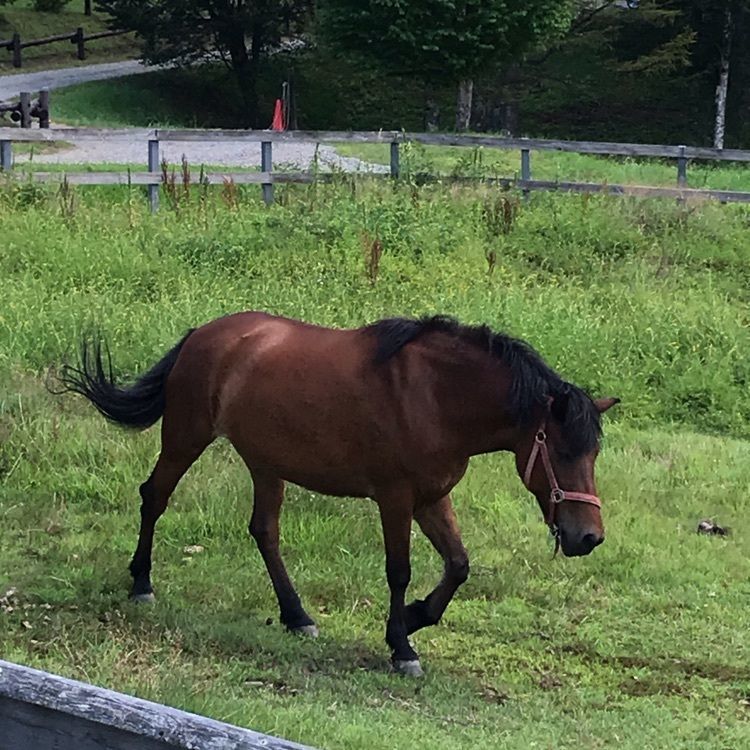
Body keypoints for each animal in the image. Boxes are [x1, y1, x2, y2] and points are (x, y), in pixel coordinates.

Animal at [58, 312, 618, 677]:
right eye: (562, 450)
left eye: (593, 453)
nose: (588, 537)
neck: (436, 395)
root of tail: (205, 334)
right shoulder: (395, 498)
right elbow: (399, 571)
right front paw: (401, 646)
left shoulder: (431, 498)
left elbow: (458, 566)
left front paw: (415, 617)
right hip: (185, 436)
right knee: (154, 497)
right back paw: (142, 583)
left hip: (267, 464)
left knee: (265, 532)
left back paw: (297, 616)